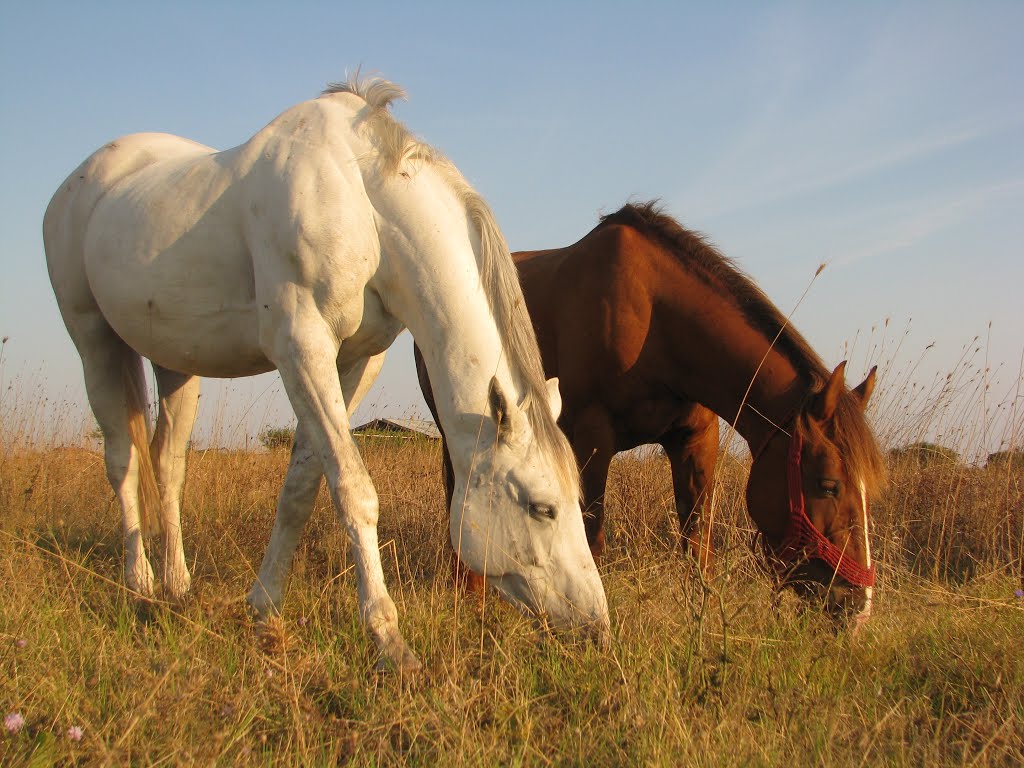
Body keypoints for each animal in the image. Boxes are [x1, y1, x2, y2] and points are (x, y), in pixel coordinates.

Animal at [44, 75, 606, 671]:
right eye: (542, 508)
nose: (595, 622)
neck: (363, 200)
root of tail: (79, 182)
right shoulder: (302, 348)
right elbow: (354, 490)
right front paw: (388, 640)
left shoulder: (354, 360)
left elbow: (302, 487)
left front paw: (264, 608)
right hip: (95, 343)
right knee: (122, 462)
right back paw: (140, 586)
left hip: (175, 366)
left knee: (168, 466)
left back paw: (178, 587)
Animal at [415, 201, 888, 622]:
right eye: (828, 485)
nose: (857, 605)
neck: (655, 316)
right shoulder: (591, 438)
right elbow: (593, 539)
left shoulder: (695, 442)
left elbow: (696, 542)